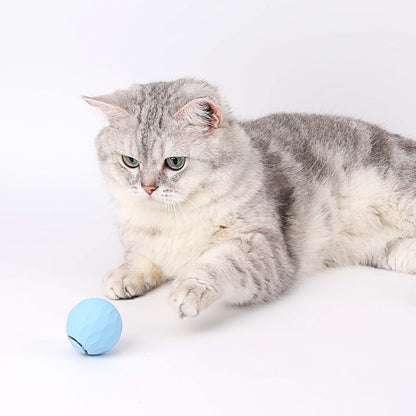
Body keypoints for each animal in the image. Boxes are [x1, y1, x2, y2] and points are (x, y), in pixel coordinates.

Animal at [83, 79, 416, 318]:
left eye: (175, 162)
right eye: (130, 161)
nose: (147, 188)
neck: (172, 217)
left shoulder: (264, 247)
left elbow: (218, 263)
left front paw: (188, 288)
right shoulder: (145, 242)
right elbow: (140, 257)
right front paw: (123, 276)